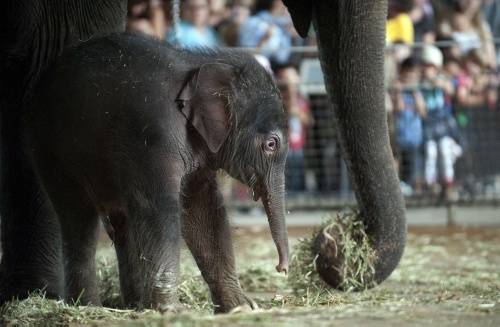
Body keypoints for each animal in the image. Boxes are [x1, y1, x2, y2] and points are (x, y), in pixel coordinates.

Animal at [26, 34, 290, 314]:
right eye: (271, 144)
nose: (281, 268)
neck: (201, 63)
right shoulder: (153, 134)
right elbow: (159, 206)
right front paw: (173, 310)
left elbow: (203, 209)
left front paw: (241, 308)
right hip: (49, 148)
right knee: (78, 217)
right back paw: (89, 307)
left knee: (121, 222)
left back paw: (133, 306)